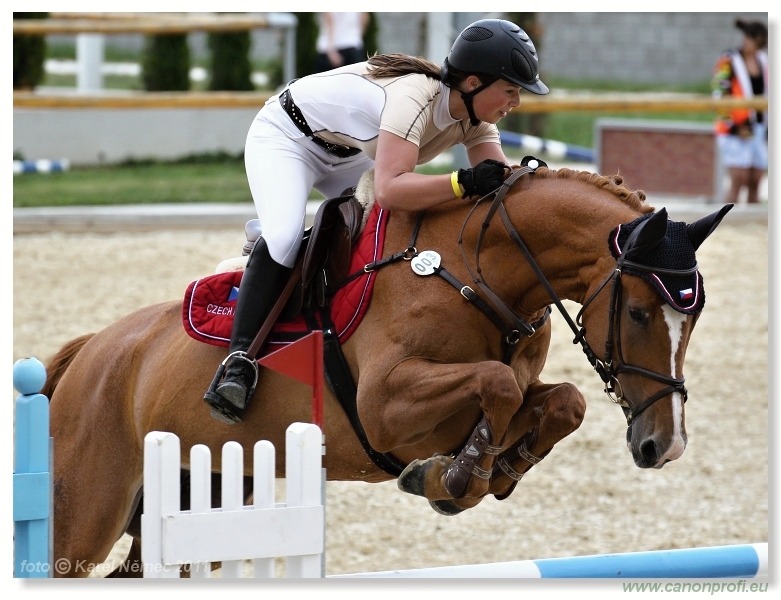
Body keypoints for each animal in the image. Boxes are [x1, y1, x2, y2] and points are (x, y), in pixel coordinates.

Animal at [44, 165, 732, 576]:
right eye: (638, 312)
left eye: (696, 318)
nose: (664, 445)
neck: (477, 271)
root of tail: (93, 351)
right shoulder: (385, 406)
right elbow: (497, 384)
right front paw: (451, 479)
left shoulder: (516, 388)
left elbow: (561, 400)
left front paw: (493, 473)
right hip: (88, 517)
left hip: (198, 498)